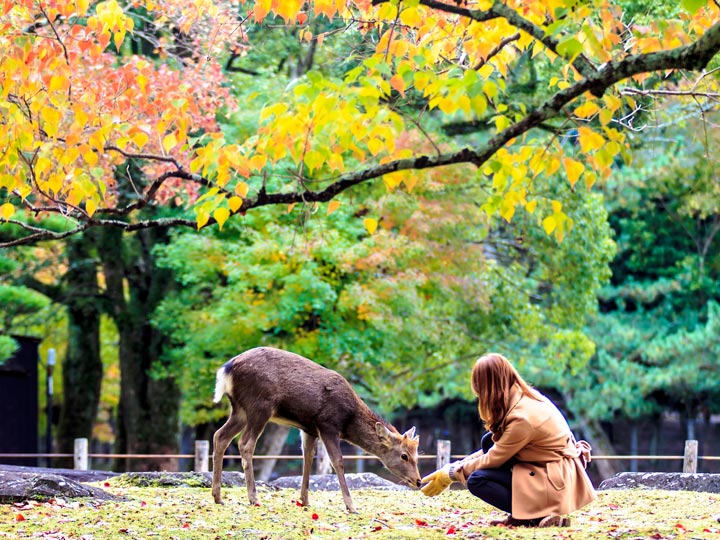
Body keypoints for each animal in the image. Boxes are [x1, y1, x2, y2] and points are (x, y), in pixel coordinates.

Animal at [208, 348, 422, 512]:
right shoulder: (327, 425)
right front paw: (351, 506)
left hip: (240, 410)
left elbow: (308, 458)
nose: (419, 481)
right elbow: (337, 461)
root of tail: (226, 369)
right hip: (259, 407)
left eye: (417, 455)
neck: (348, 421)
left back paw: (218, 496)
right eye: (404, 455)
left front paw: (304, 500)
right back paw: (253, 498)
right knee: (245, 444)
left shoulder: (309, 429)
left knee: (220, 436)